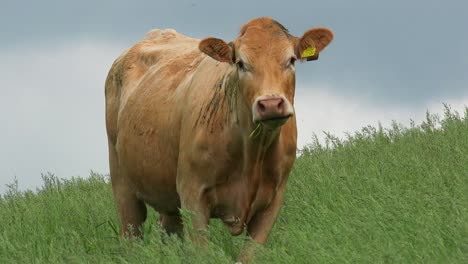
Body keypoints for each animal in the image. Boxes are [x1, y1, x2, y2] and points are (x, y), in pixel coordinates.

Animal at [106, 17, 332, 262]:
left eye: (291, 60)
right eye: (240, 63)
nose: (271, 104)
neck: (251, 155)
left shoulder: (273, 201)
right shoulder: (193, 195)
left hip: (168, 200)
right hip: (122, 184)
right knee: (131, 234)